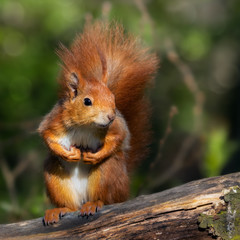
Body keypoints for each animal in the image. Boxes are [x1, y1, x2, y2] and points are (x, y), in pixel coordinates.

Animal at [38, 21, 158, 225]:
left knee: (105, 198)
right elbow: (46, 135)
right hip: (55, 176)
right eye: (87, 101)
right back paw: (60, 209)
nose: (110, 116)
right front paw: (66, 153)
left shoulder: (116, 127)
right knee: (70, 205)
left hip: (108, 174)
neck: (85, 126)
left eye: (113, 97)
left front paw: (94, 156)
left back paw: (94, 204)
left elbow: (119, 137)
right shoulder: (54, 121)